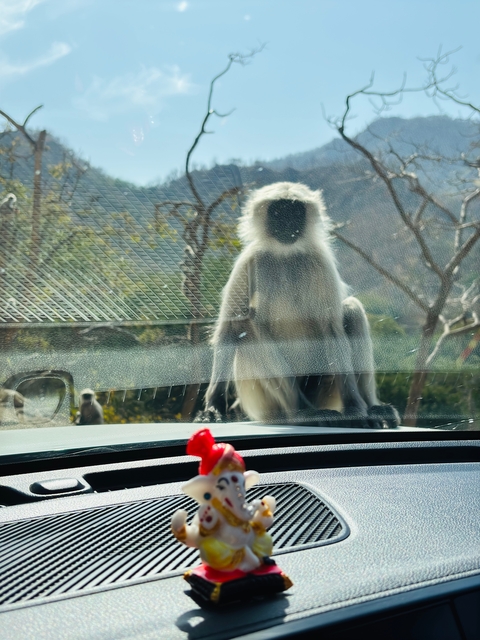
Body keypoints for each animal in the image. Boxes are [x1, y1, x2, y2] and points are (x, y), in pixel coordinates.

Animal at [196, 182, 399, 429]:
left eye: (295, 211)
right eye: (278, 211)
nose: (287, 222)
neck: (285, 255)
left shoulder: (320, 261)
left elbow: (332, 330)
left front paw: (355, 409)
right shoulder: (248, 260)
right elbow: (228, 330)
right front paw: (214, 406)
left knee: (351, 309)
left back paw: (371, 407)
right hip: (262, 402)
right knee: (244, 326)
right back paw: (302, 412)